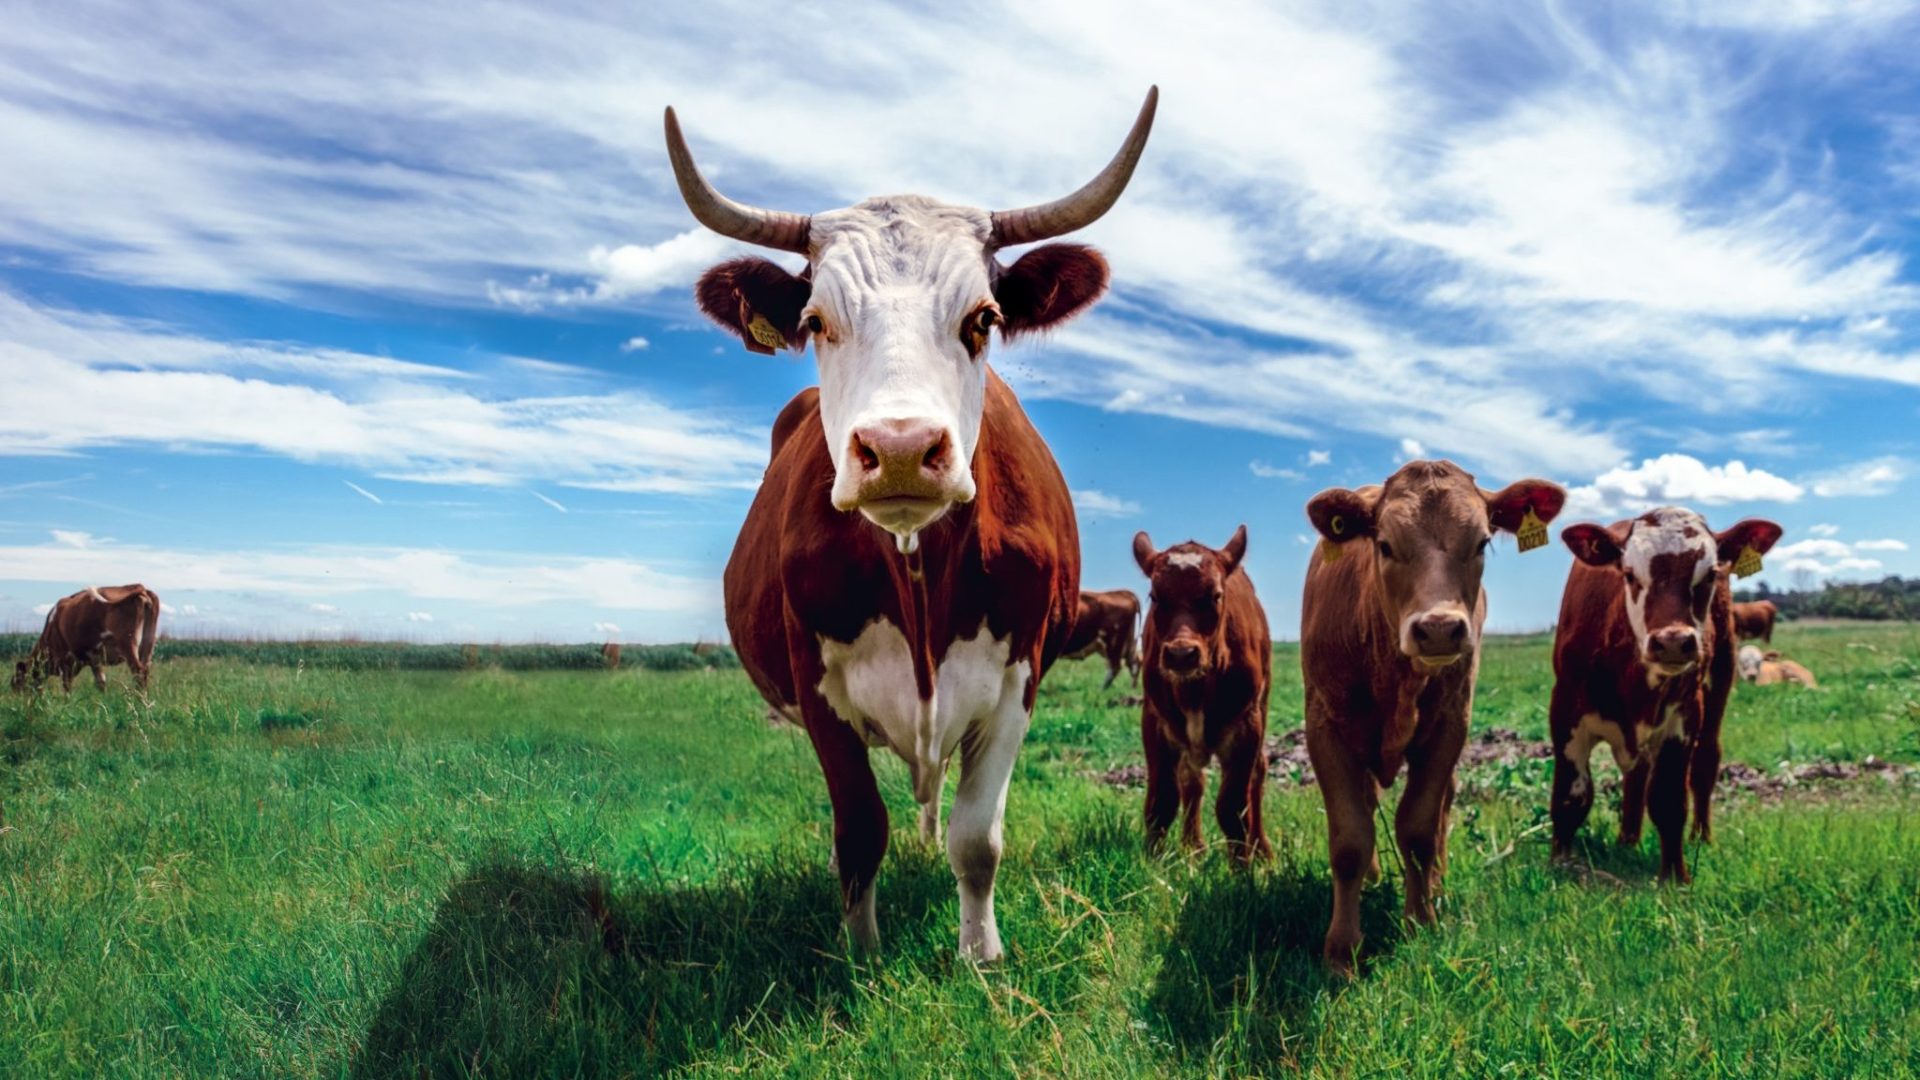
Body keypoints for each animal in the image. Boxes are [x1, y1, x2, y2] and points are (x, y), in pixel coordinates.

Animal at [10, 580, 161, 687]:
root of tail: (140, 587)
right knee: (145, 670)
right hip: (148, 643)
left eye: (17, 683)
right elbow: (101, 683)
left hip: (128, 644)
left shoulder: (67, 660)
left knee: (138, 671)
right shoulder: (94, 659)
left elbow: (67, 686)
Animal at [675, 88, 1152, 953]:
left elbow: (978, 836)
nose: (899, 449)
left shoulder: (1019, 677)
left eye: (984, 318)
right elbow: (860, 830)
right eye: (817, 322)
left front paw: (980, 952)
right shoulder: (816, 681)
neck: (918, 570)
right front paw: (861, 953)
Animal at [1128, 522, 1267, 857]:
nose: (1181, 654)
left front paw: (1242, 866)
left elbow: (1233, 808)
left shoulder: (1247, 725)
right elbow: (1162, 802)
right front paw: (1153, 861)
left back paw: (1262, 849)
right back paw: (1193, 846)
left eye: (1215, 595)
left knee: (1258, 775)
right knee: (1192, 780)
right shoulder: (1155, 721)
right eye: (1155, 595)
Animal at [1297, 457, 1566, 972]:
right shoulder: (1325, 726)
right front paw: (1341, 950)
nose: (1439, 629)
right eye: (1384, 544)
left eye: (1481, 542)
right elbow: (1350, 839)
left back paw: (1436, 885)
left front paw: (1420, 923)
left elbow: (1419, 829)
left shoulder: (1449, 726)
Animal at [1543, 503, 1781, 883]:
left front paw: (1674, 876)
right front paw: (1561, 864)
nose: (1672, 641)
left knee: (1704, 762)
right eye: (1629, 574)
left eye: (1710, 574)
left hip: (1721, 678)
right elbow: (1571, 796)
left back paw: (1701, 836)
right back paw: (1627, 840)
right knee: (1636, 776)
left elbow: (1668, 801)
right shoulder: (1565, 709)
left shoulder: (1683, 717)